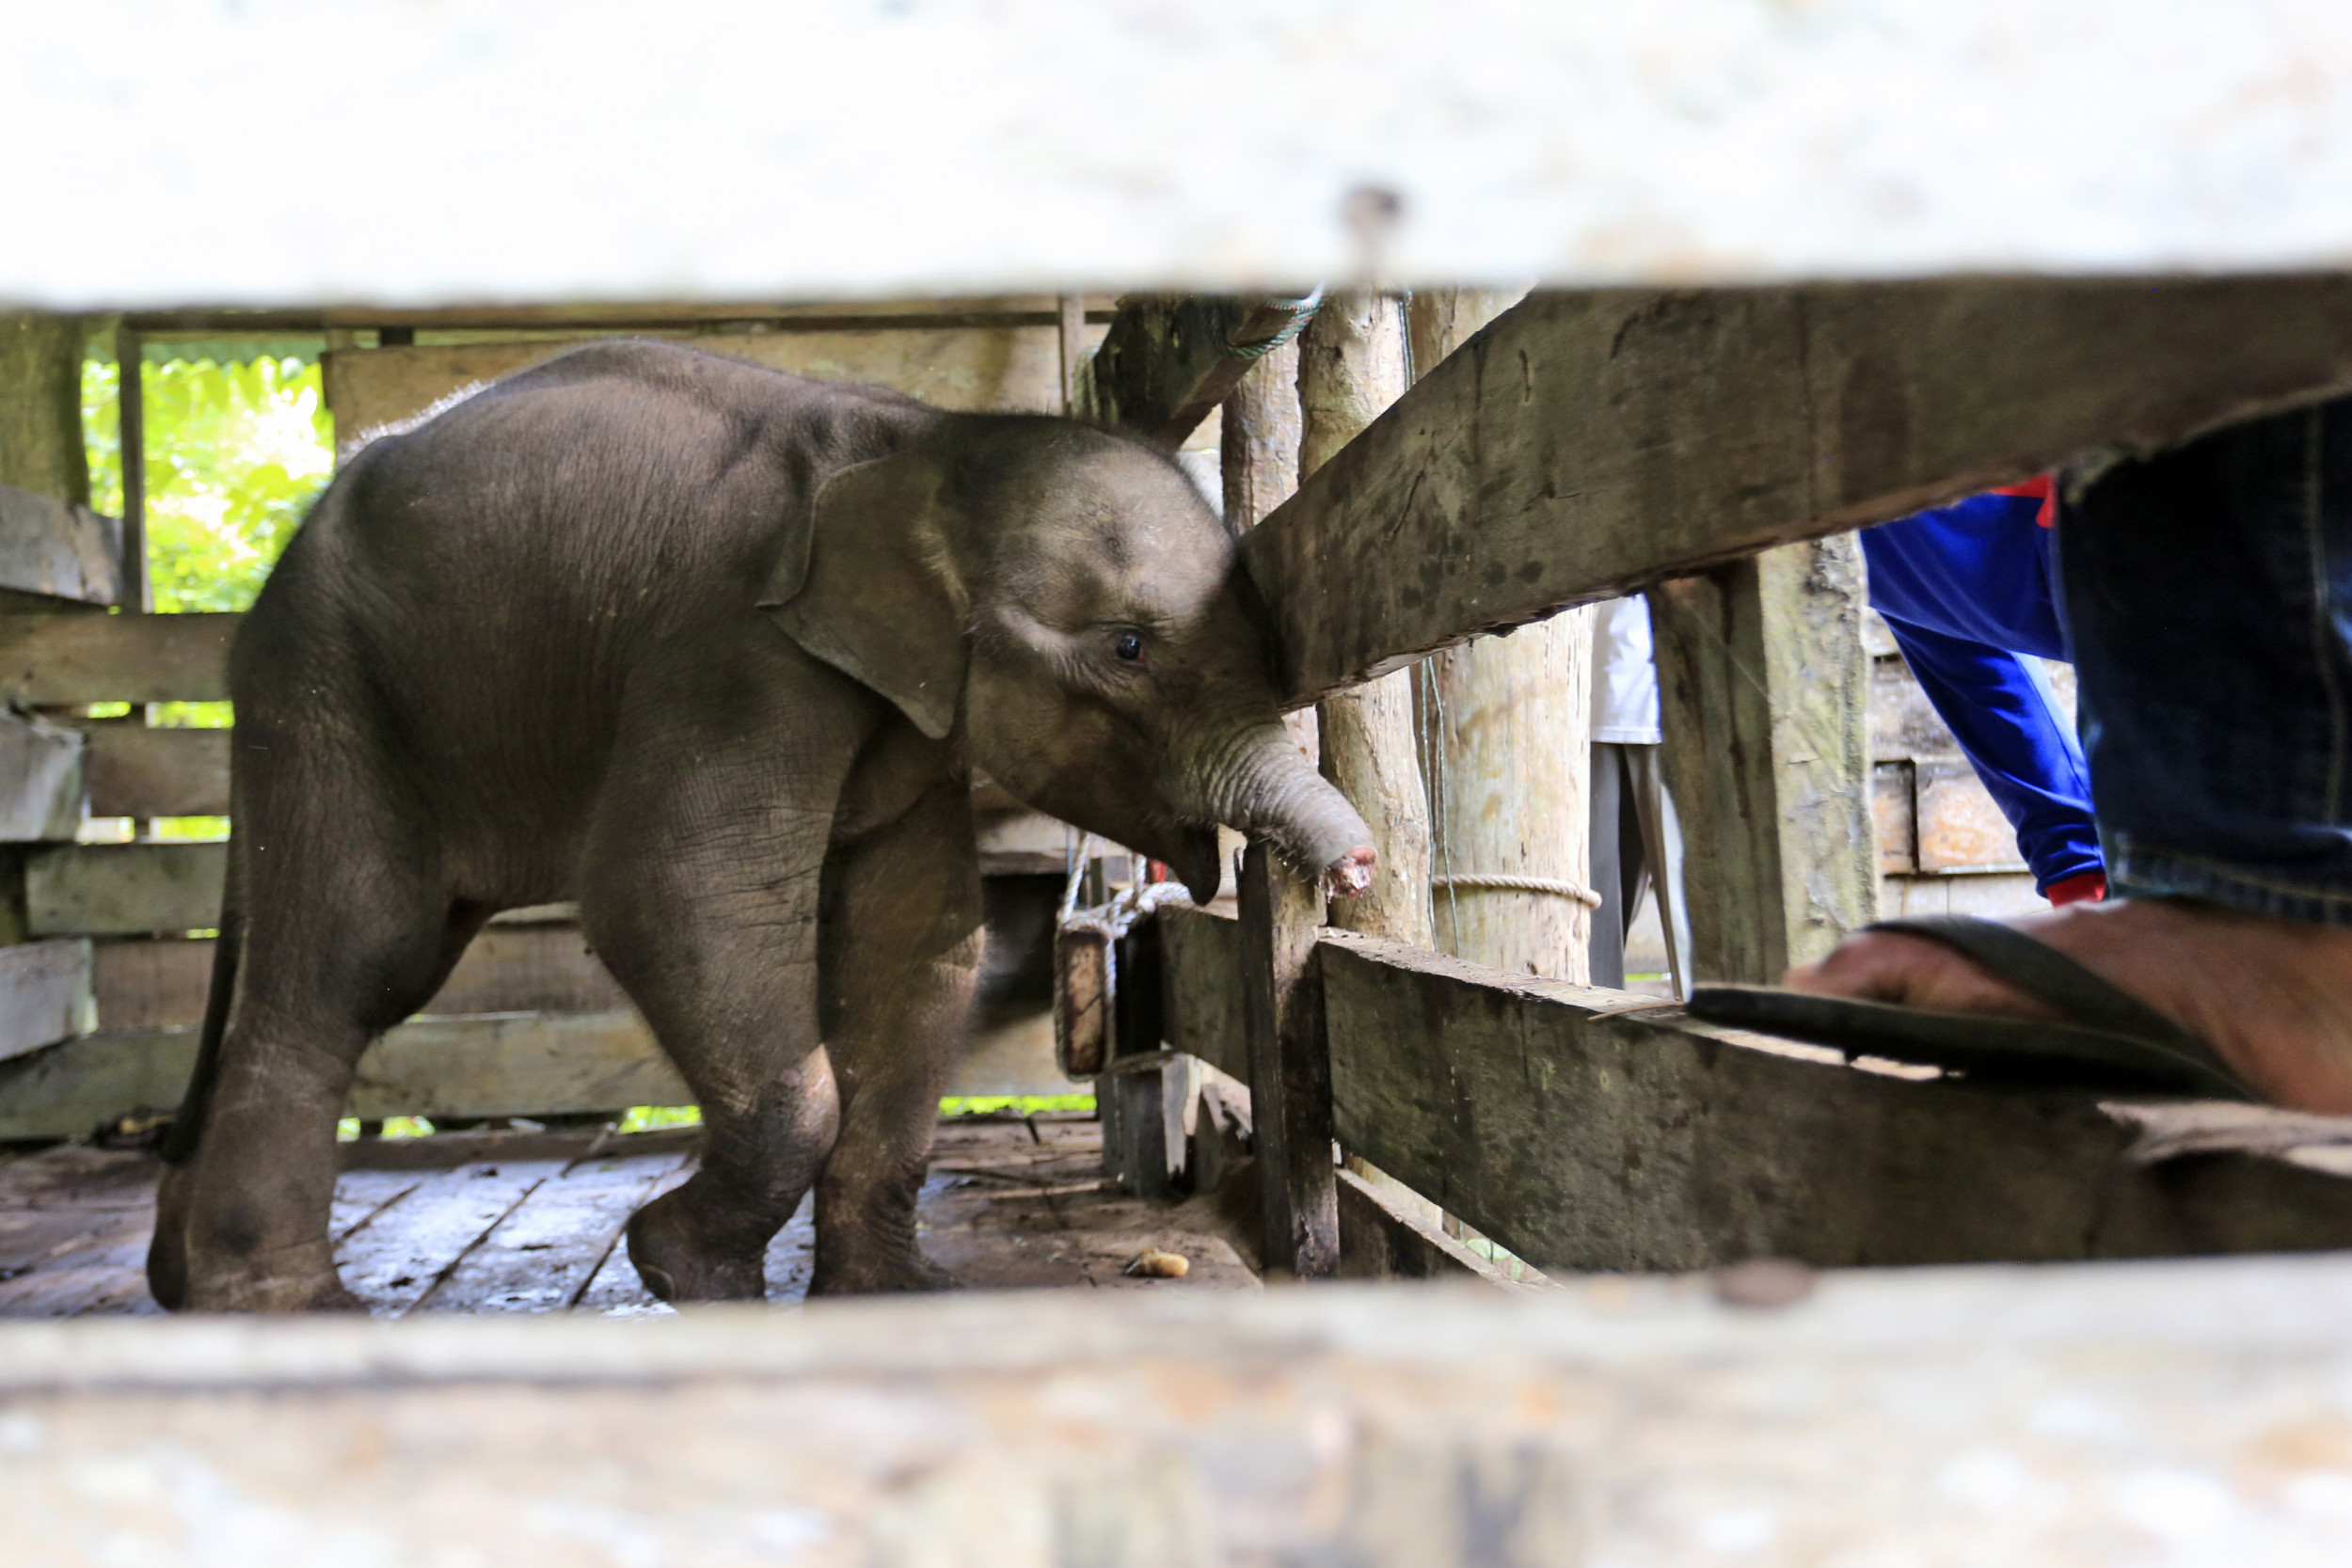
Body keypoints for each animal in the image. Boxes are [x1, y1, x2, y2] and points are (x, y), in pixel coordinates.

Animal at [147, 341, 1374, 1316]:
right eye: (1126, 647)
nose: (1357, 867)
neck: (920, 445)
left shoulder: (904, 713)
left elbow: (919, 933)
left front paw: (887, 1296)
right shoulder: (735, 647)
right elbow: (670, 890)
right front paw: (680, 1272)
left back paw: (186, 1280)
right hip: (328, 682)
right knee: (356, 959)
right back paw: (280, 1305)